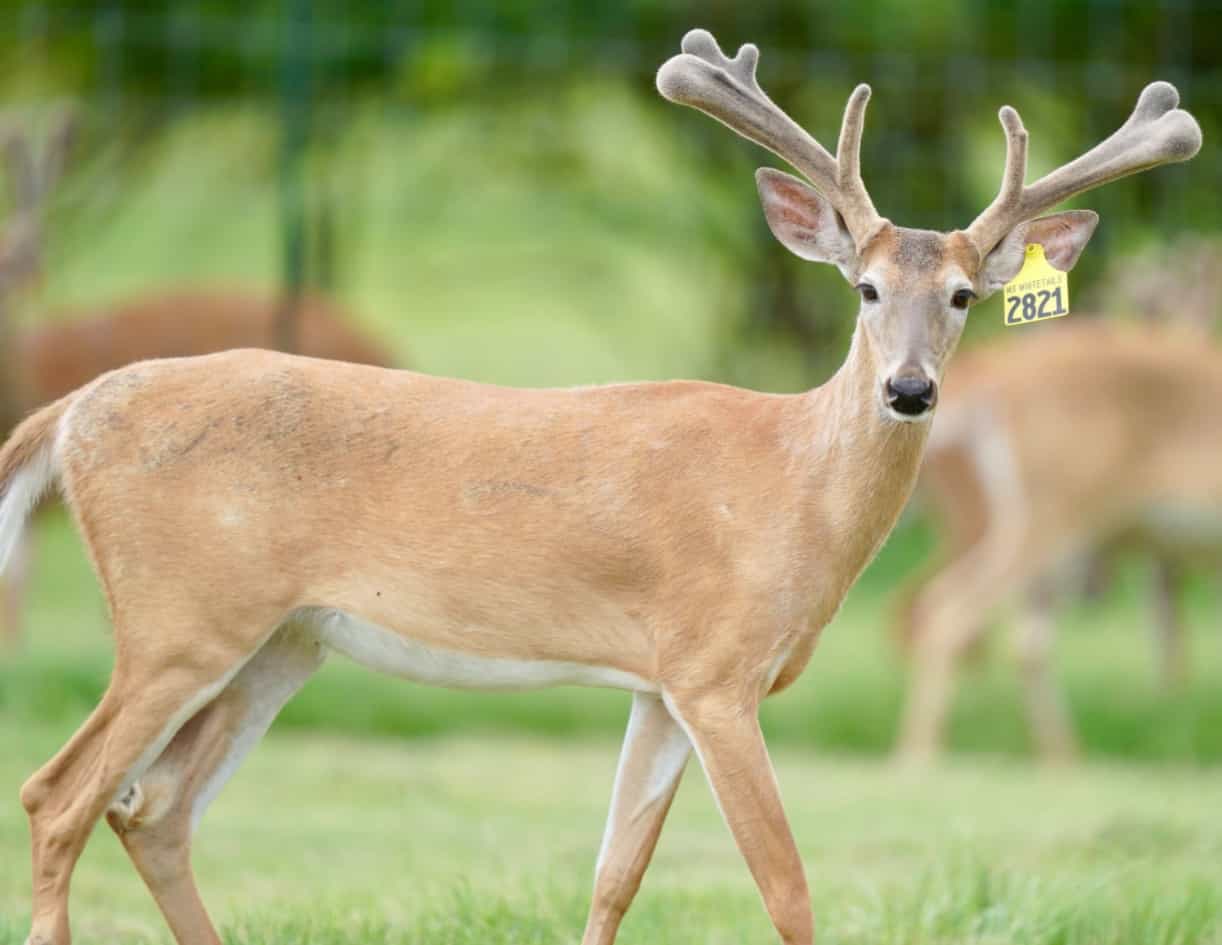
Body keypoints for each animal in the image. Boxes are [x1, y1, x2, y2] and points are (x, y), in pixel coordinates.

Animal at [894, 317, 1222, 766]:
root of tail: (998, 385)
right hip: (1054, 512)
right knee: (955, 611)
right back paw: (920, 759)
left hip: (1049, 530)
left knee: (1010, 631)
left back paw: (1062, 758)